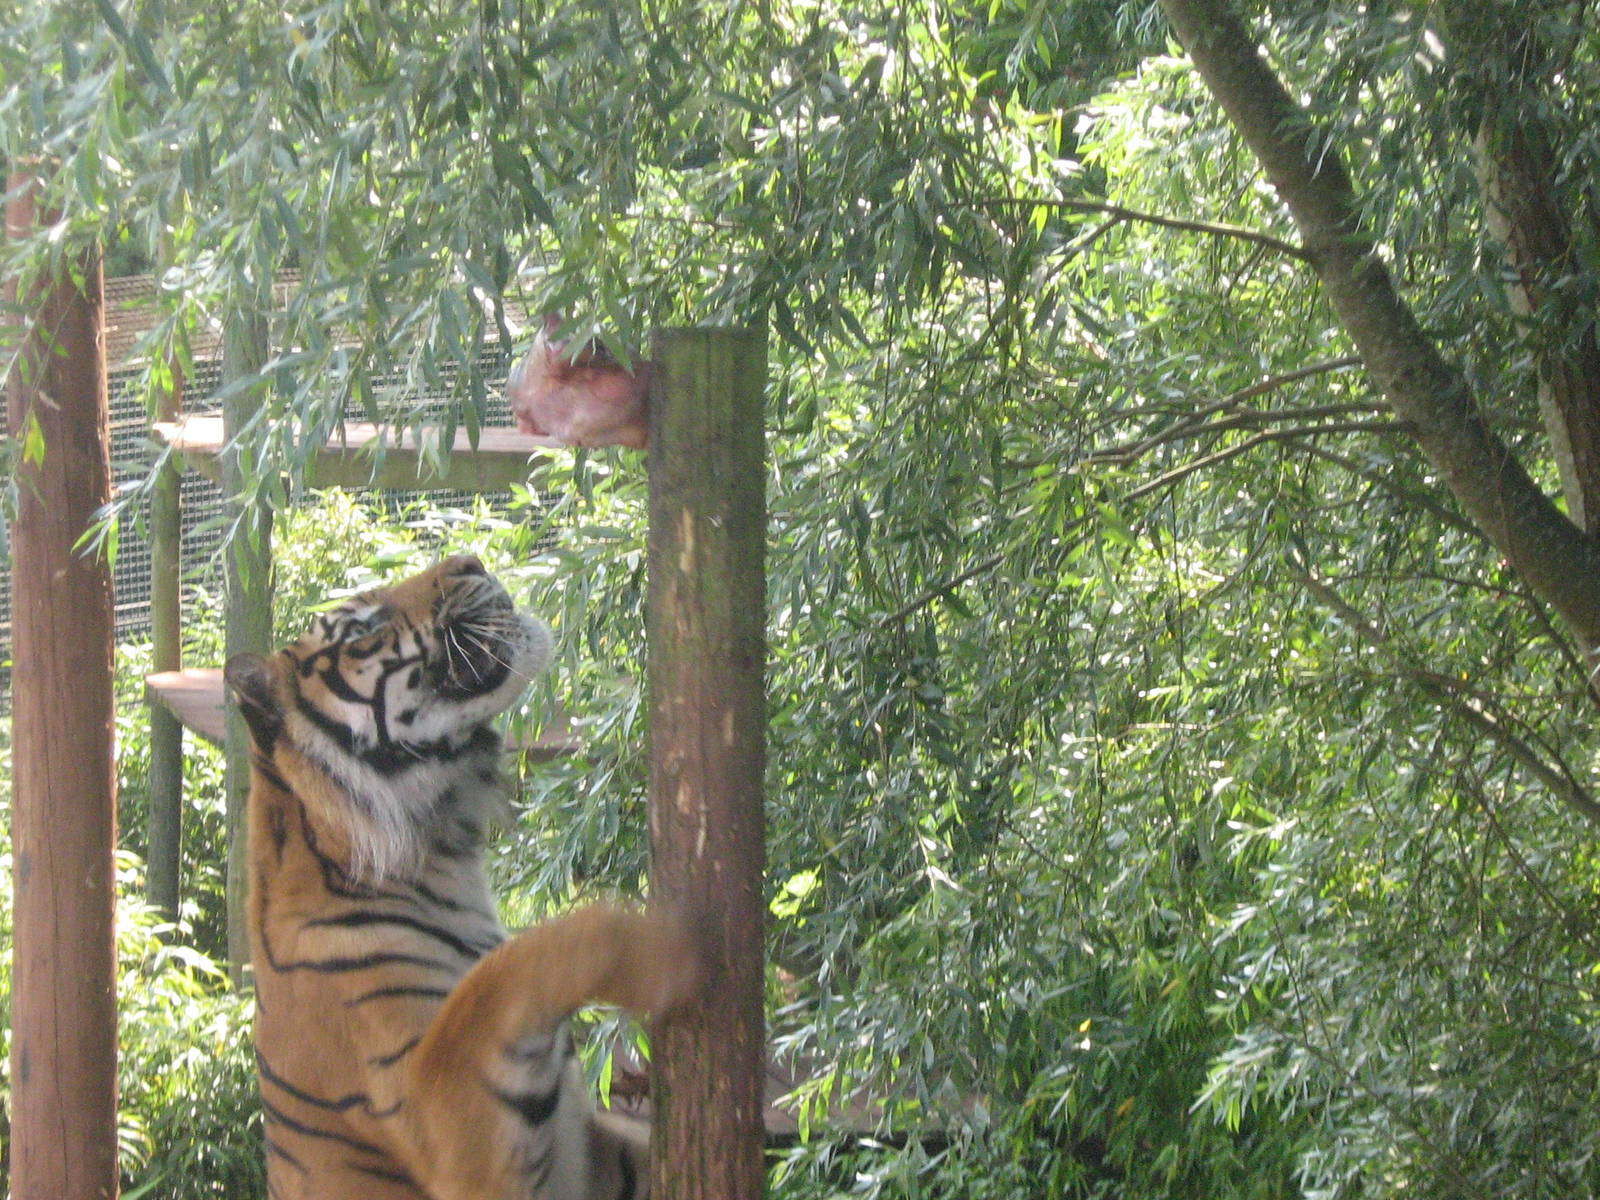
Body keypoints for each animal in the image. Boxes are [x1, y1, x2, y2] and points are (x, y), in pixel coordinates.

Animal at [224, 555, 694, 1200]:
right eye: (361, 627)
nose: (469, 560)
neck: (439, 858)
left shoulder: (593, 1158)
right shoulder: (443, 1116)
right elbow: (508, 975)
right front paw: (663, 944)